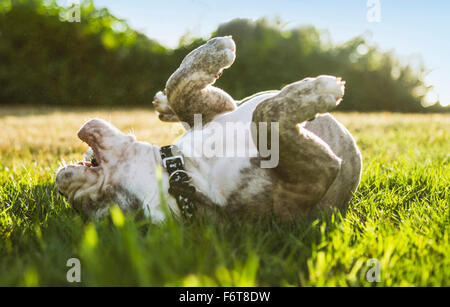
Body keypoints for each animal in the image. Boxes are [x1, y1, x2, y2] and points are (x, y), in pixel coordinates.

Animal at [55, 37, 362, 223]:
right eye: (88, 203)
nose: (60, 184)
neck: (182, 172)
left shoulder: (213, 111)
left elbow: (179, 85)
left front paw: (212, 50)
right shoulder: (311, 177)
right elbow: (265, 117)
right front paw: (319, 91)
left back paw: (164, 104)